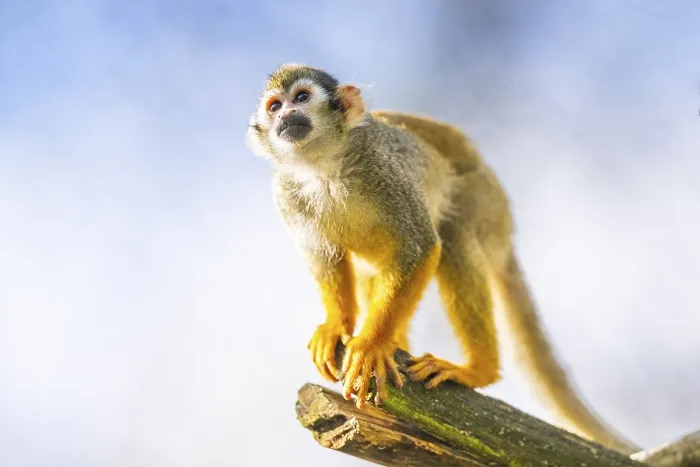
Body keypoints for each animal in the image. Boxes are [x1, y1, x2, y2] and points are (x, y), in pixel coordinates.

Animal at [246, 63, 639, 455]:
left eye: (301, 97)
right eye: (274, 106)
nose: (287, 115)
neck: (323, 167)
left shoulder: (382, 168)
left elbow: (420, 247)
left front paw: (371, 346)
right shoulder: (287, 195)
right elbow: (325, 259)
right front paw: (336, 325)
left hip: (484, 199)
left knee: (454, 238)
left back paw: (477, 370)